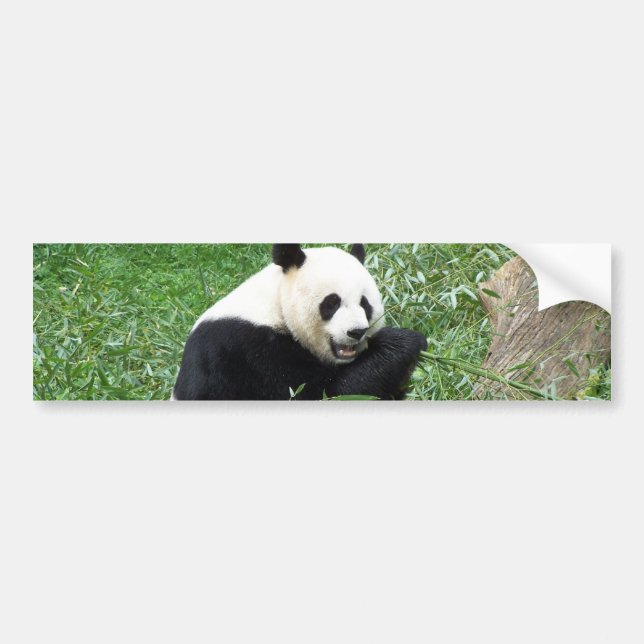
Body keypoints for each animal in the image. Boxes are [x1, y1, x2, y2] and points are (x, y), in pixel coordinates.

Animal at [172, 244, 427, 400]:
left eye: (365, 304)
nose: (357, 331)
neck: (276, 307)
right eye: (332, 302)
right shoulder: (248, 352)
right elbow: (325, 392)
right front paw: (406, 342)